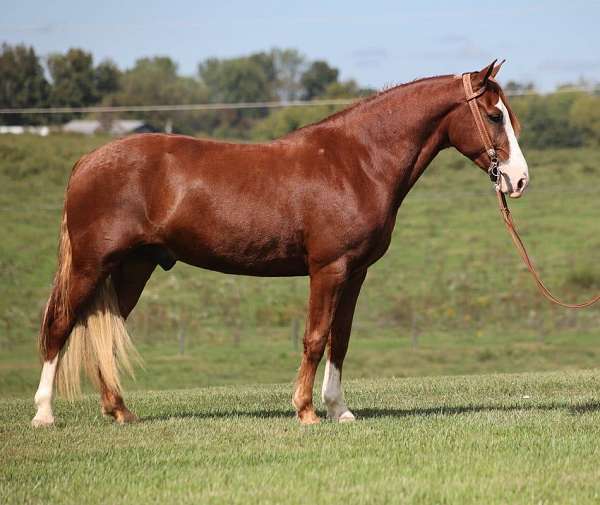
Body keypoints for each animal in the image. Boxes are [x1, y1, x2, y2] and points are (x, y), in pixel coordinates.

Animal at [32, 62, 528, 426]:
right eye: (494, 115)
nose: (519, 180)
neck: (357, 161)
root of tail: (87, 161)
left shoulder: (356, 272)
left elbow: (340, 339)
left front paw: (340, 410)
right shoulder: (328, 268)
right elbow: (315, 337)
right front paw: (306, 411)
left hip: (134, 268)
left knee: (101, 330)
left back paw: (119, 411)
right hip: (91, 265)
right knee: (59, 325)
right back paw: (44, 415)